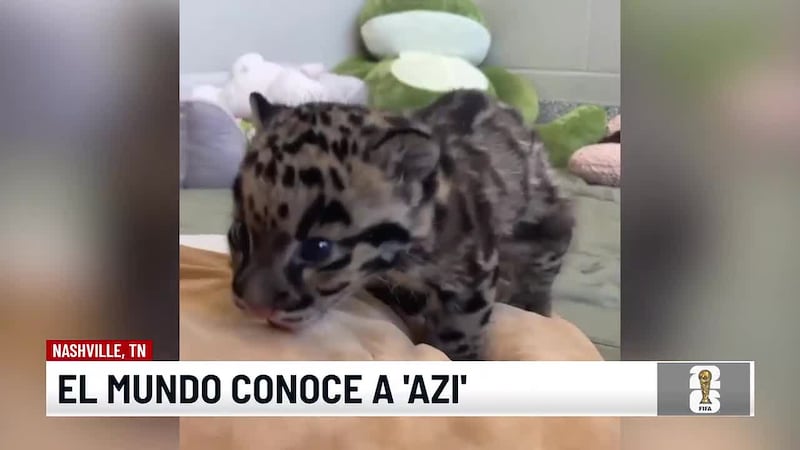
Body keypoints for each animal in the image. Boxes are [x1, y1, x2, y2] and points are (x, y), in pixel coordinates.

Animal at [226, 89, 574, 361]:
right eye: (239, 233)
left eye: (318, 249)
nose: (254, 309)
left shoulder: (475, 269)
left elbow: (461, 329)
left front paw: (457, 356)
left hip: (540, 217)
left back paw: (534, 303)